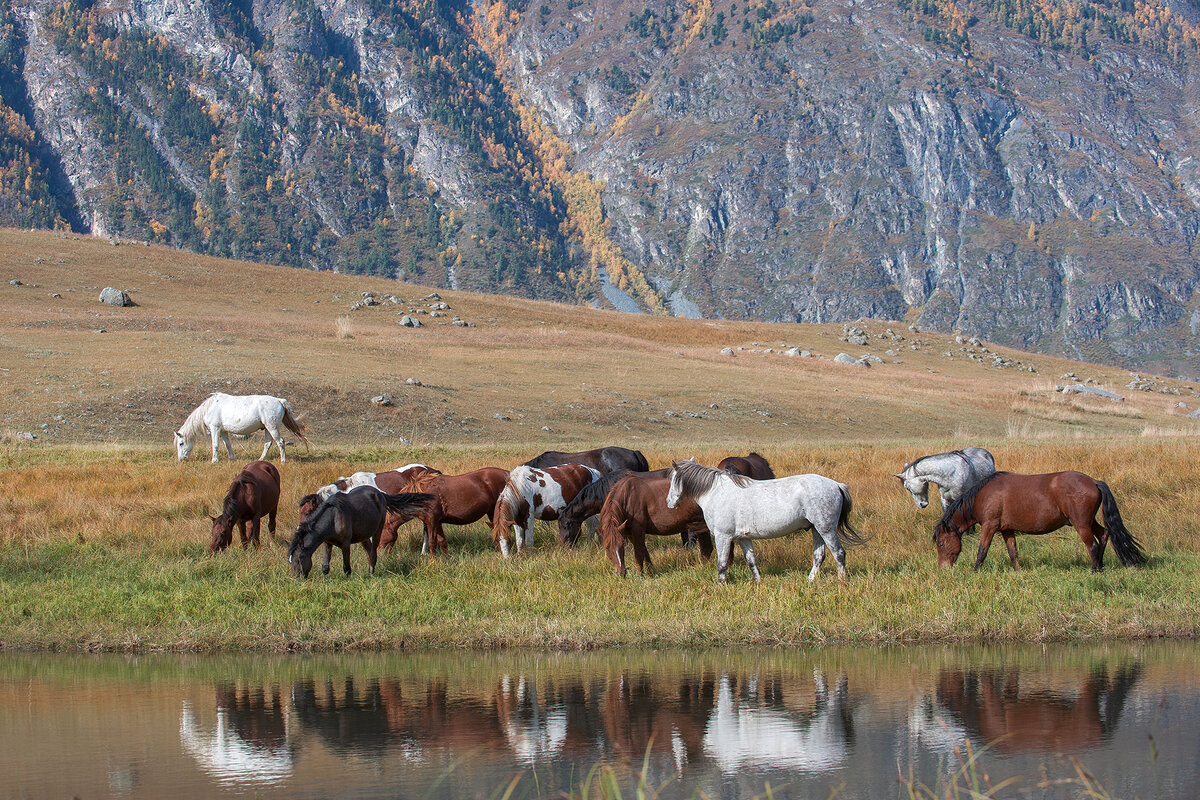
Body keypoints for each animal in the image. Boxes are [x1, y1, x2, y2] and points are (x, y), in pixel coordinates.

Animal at [176, 393, 312, 462]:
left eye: (181, 443)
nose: (181, 459)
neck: (210, 408)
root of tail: (279, 400)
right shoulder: (223, 431)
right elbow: (227, 445)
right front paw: (232, 459)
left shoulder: (215, 429)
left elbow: (215, 445)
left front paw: (214, 460)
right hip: (267, 428)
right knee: (268, 444)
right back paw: (260, 460)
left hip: (272, 427)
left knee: (281, 442)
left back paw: (283, 461)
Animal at [288, 484, 439, 578]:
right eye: (290, 561)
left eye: (299, 558)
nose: (297, 578)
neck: (333, 518)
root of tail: (380, 494)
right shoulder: (327, 543)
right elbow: (325, 566)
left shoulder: (345, 544)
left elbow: (346, 567)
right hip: (364, 535)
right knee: (369, 551)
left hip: (377, 531)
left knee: (373, 553)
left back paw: (371, 572)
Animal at [379, 465, 511, 554]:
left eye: (379, 533)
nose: (380, 554)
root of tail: (508, 473)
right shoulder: (437, 522)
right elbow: (442, 542)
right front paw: (446, 560)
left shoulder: (431, 520)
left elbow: (432, 543)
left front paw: (433, 563)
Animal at [667, 460, 864, 585]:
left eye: (672, 480)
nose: (669, 502)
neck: (716, 492)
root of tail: (837, 485)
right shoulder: (743, 538)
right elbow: (752, 561)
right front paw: (758, 582)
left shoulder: (724, 537)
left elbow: (722, 564)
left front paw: (721, 585)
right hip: (816, 529)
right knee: (819, 556)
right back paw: (809, 581)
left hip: (826, 529)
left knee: (839, 553)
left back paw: (841, 581)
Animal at [931, 472, 1147, 573]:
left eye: (941, 544)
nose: (944, 569)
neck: (983, 496)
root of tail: (1094, 482)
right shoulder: (1007, 530)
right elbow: (1013, 552)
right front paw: (1017, 572)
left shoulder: (990, 526)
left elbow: (982, 551)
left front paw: (976, 571)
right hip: (1089, 521)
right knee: (1103, 535)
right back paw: (1100, 567)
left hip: (1081, 524)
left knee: (1092, 545)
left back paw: (1094, 571)